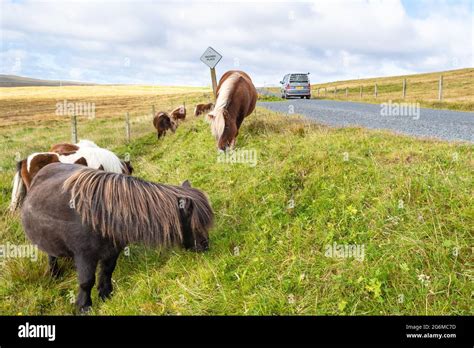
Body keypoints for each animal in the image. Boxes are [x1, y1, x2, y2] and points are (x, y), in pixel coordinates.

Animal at [21, 163, 214, 312]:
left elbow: (107, 272)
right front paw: (84, 306)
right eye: (197, 225)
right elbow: (86, 282)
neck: (101, 214)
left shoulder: (112, 251)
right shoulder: (85, 256)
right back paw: (54, 274)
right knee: (51, 257)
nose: (206, 246)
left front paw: (106, 295)